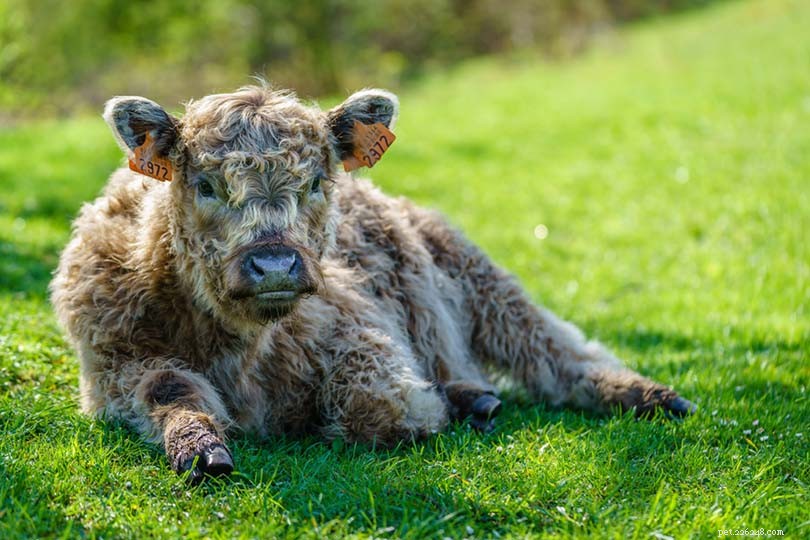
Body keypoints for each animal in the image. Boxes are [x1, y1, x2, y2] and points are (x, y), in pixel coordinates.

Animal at [50, 85, 695, 483]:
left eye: (316, 181)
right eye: (206, 185)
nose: (275, 265)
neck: (238, 350)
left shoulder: (364, 337)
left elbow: (376, 408)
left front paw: (430, 413)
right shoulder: (113, 364)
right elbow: (170, 388)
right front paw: (200, 448)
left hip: (485, 283)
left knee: (554, 349)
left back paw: (648, 395)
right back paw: (475, 398)